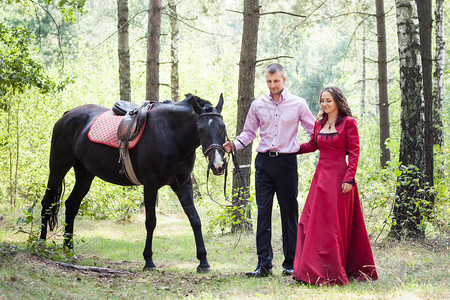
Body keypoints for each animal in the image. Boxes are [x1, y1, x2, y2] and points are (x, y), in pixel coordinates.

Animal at [39, 94, 227, 272]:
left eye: (223, 127)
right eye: (200, 129)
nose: (218, 165)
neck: (170, 135)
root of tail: (67, 115)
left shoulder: (183, 184)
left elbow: (195, 219)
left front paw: (203, 261)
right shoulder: (151, 185)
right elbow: (151, 222)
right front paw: (149, 261)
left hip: (85, 174)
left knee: (71, 205)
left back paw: (69, 250)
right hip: (58, 168)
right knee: (47, 202)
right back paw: (41, 245)